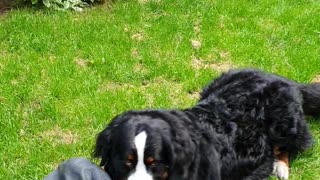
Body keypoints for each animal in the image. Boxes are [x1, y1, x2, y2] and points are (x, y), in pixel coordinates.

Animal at [94, 69, 318, 180]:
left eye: (154, 163)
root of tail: (281, 78)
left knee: (289, 146)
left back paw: (280, 167)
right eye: (127, 161)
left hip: (284, 123)